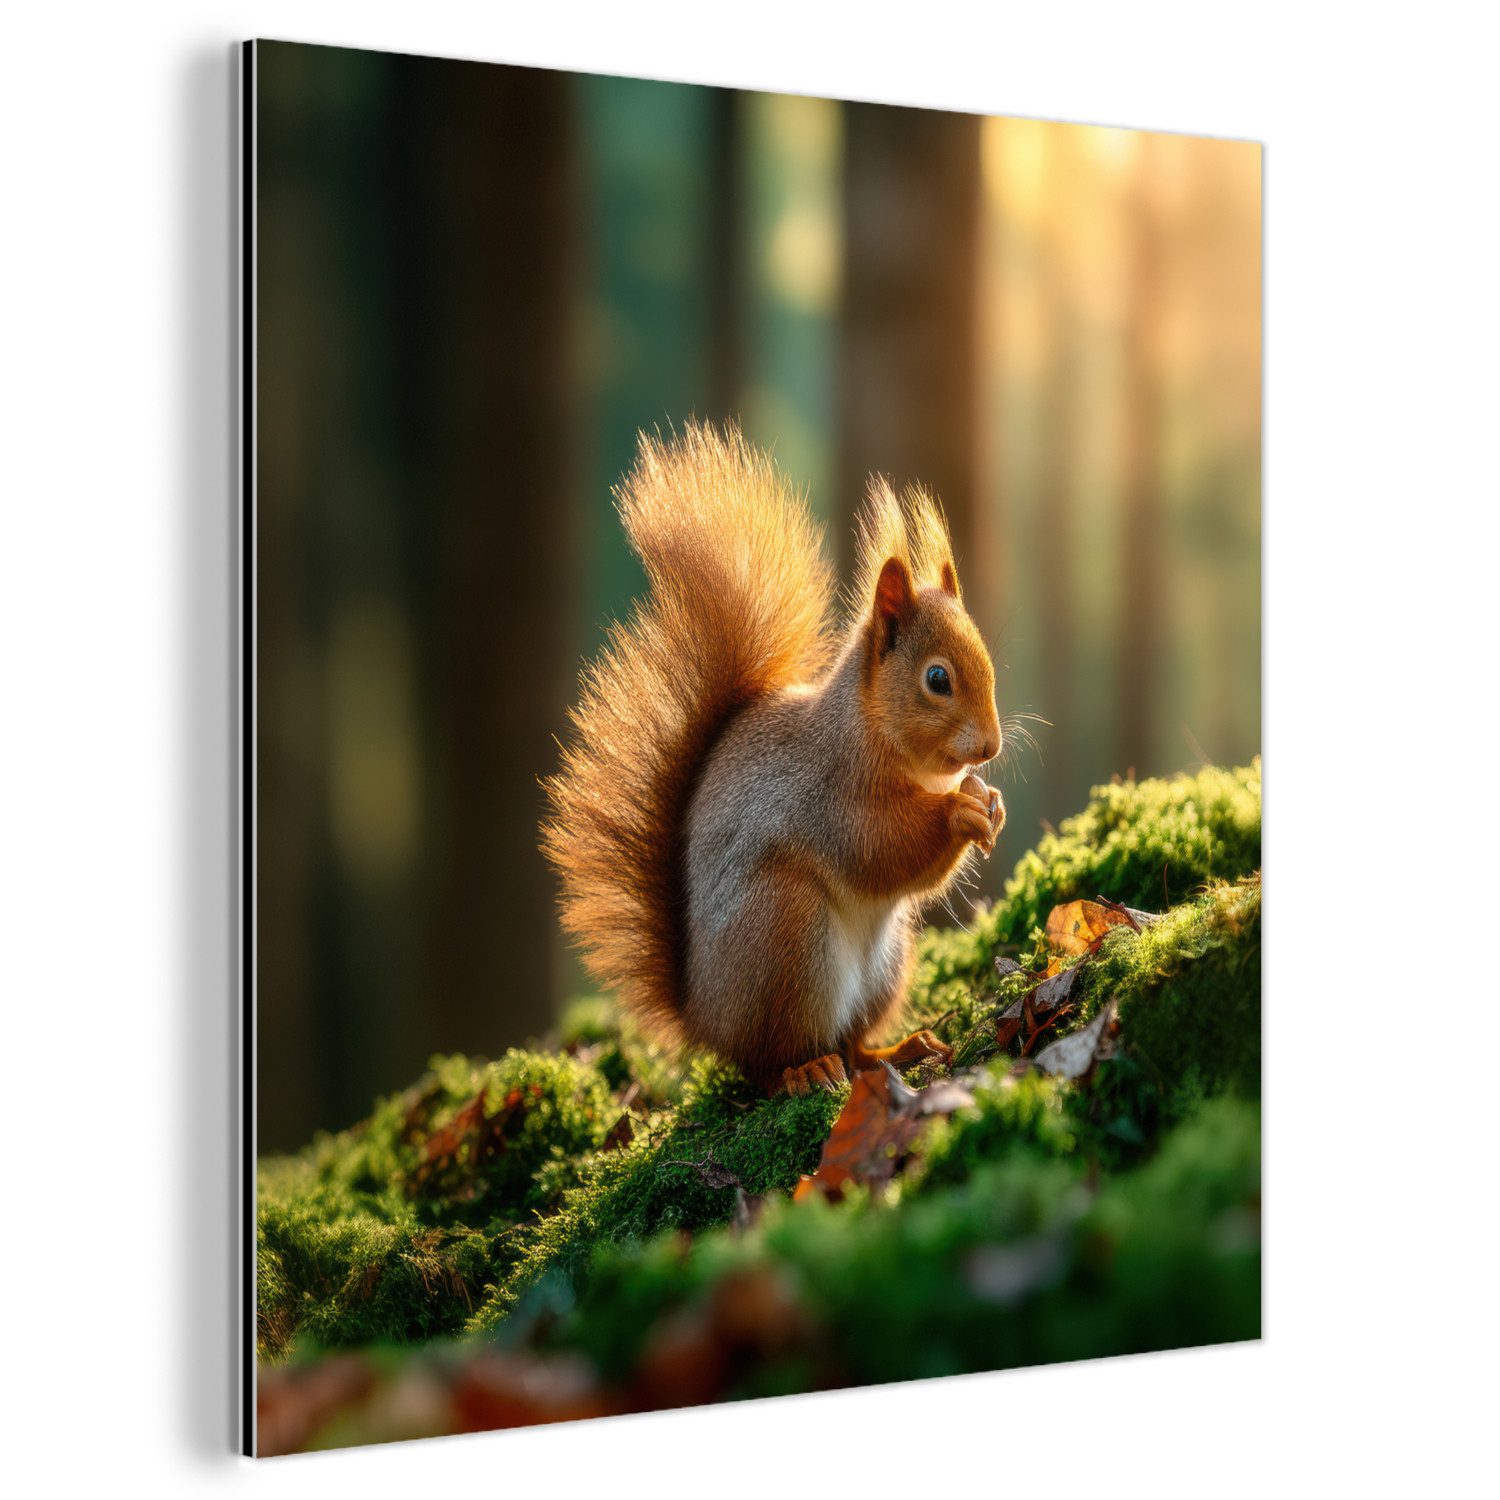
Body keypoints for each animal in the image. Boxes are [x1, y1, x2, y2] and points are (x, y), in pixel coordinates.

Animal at [543, 422, 1004, 1096]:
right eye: (937, 679)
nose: (992, 747)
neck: (868, 732)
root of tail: (705, 1019)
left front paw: (988, 801)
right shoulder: (831, 795)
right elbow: (880, 849)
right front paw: (959, 814)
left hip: (885, 963)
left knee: (852, 1044)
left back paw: (896, 1050)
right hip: (786, 934)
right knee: (770, 1063)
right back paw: (804, 1070)